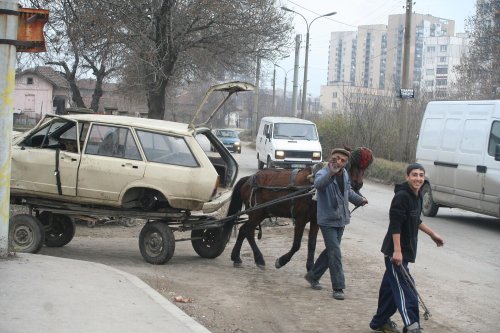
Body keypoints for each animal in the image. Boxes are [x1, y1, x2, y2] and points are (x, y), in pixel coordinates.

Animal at [225, 147, 374, 272]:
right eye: (351, 164)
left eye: (364, 167)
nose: (358, 184)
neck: (313, 185)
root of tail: (249, 179)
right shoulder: (301, 219)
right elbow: (296, 244)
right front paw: (282, 261)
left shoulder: (315, 221)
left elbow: (312, 244)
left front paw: (310, 267)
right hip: (256, 213)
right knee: (249, 232)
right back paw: (259, 259)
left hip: (261, 213)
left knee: (243, 230)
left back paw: (236, 257)